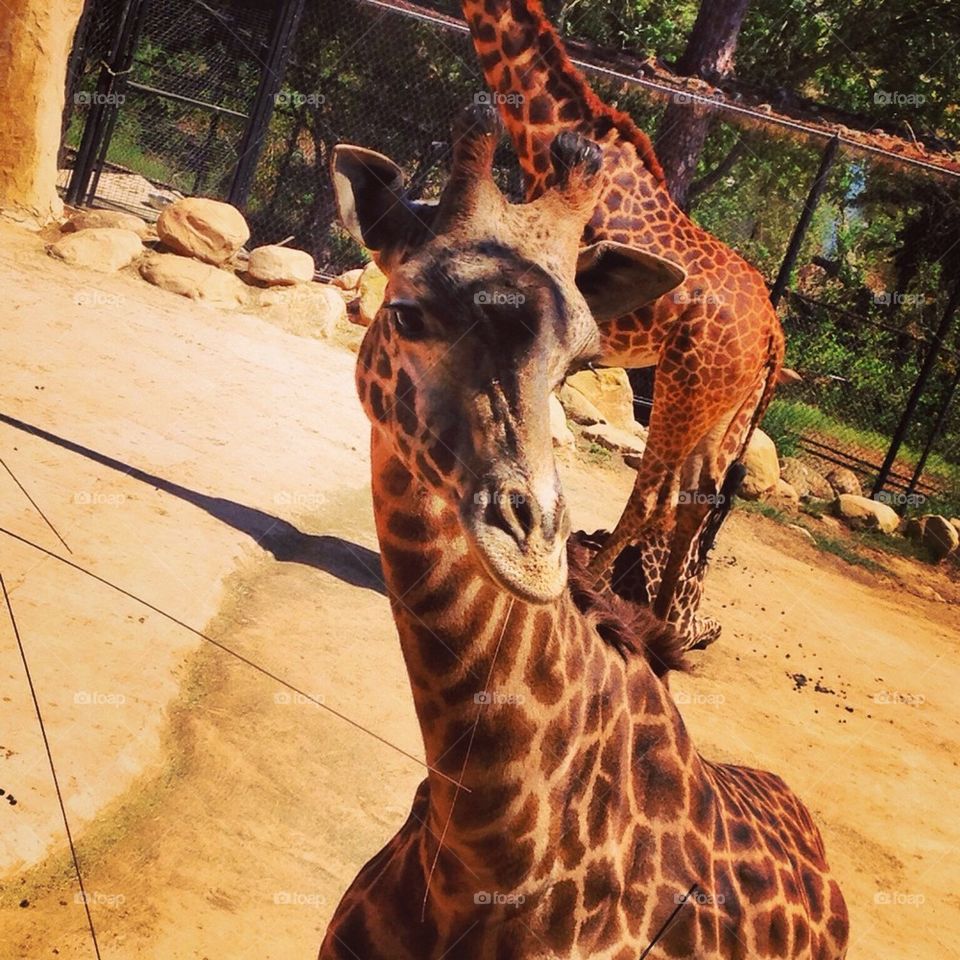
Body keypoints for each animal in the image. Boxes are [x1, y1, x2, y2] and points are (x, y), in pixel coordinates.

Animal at [460, 0, 786, 649]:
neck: (544, 134)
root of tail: (772, 334)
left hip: (685, 385)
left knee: (657, 494)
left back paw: (599, 591)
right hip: (729, 407)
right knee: (698, 499)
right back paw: (665, 628)